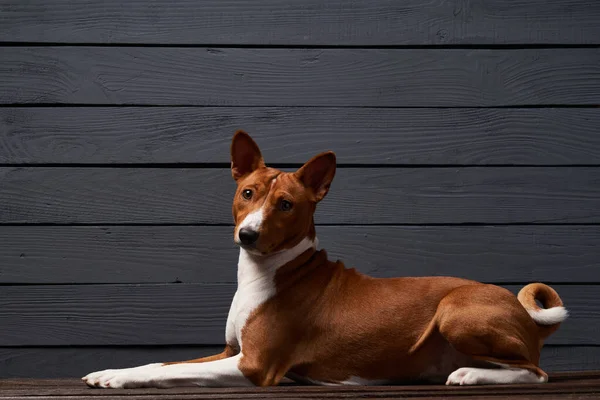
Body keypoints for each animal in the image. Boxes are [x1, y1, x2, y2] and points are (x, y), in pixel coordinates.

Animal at [83, 130, 568, 388]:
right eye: (247, 193)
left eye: (286, 205)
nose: (248, 234)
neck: (265, 272)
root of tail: (524, 314)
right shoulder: (230, 351)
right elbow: (162, 364)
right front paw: (111, 371)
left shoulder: (253, 364)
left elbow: (172, 372)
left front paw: (121, 379)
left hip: (454, 311)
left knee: (537, 372)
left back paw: (470, 374)